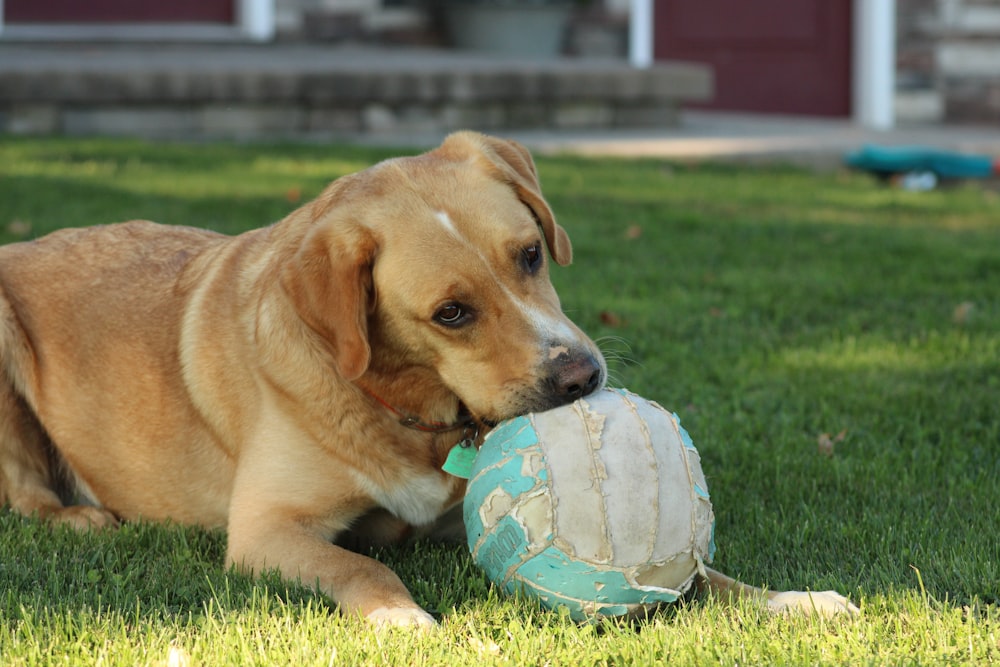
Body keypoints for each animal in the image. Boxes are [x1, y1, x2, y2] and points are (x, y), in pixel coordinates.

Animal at [0, 132, 860, 628]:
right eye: (451, 312)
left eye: (531, 254)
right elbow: (363, 562)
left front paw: (784, 597)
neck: (407, 412)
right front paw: (402, 618)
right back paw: (77, 517)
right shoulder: (268, 529)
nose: (582, 375)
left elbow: (699, 573)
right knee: (25, 492)